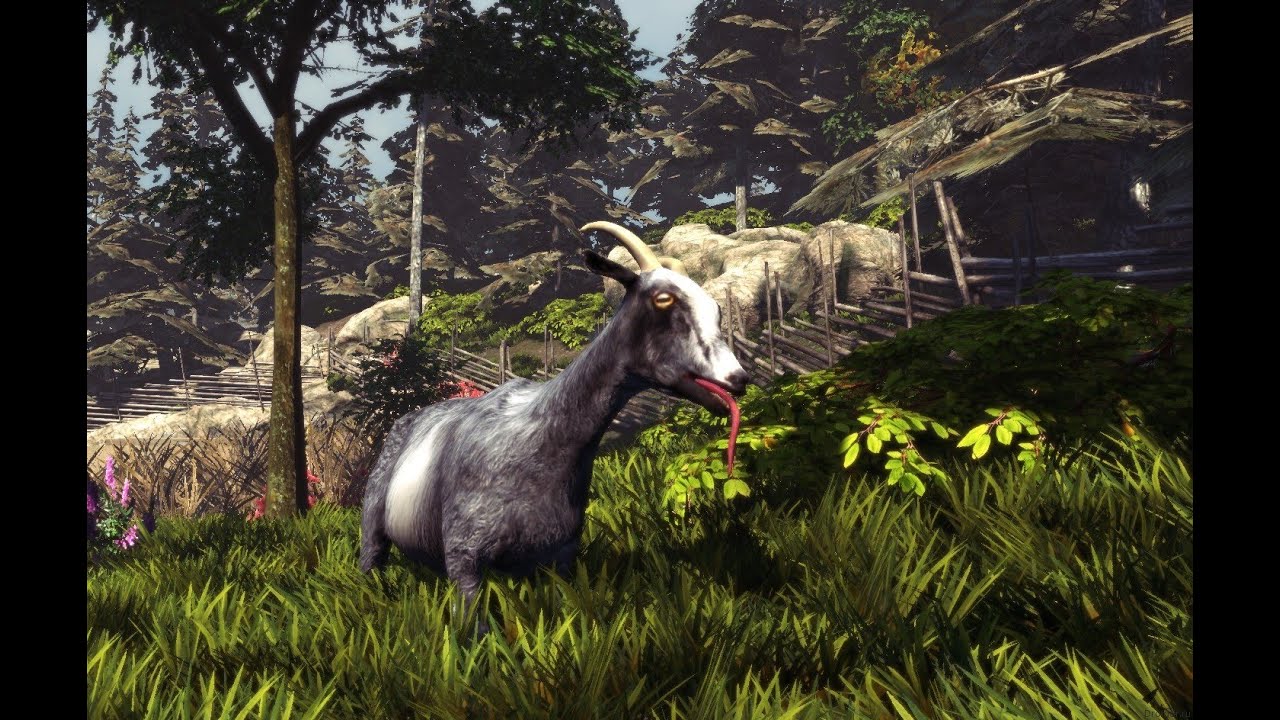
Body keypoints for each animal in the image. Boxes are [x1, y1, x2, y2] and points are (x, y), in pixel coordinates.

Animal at [359, 221, 750, 630]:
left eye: (717, 309)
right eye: (663, 299)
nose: (737, 378)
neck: (544, 440)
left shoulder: (559, 555)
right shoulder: (464, 553)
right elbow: (473, 623)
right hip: (374, 516)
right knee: (371, 557)